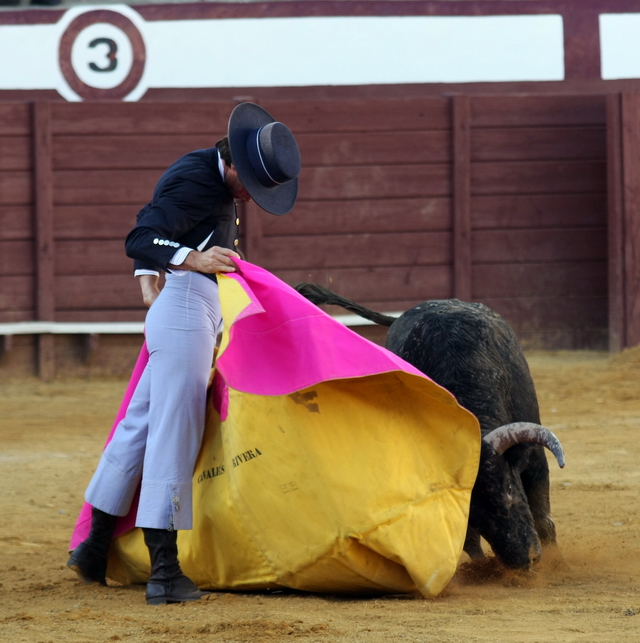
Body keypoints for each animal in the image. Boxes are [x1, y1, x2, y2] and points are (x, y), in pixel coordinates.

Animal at [296, 284, 564, 572]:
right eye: (472, 512)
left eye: (510, 489)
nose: (523, 560)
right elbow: (468, 540)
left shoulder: (535, 459)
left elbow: (544, 519)